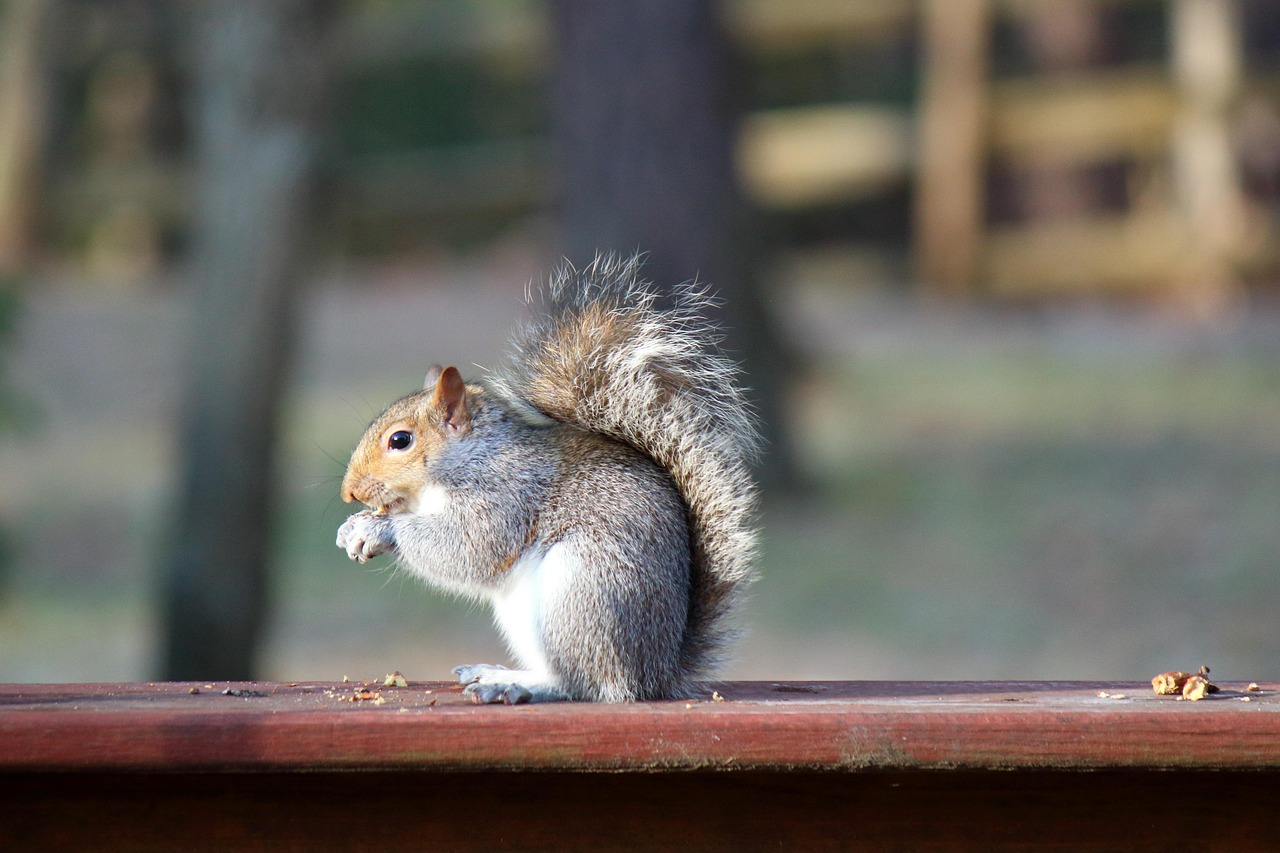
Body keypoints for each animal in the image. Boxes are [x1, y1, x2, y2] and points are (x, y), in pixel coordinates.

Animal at [336, 254, 761, 703]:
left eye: (400, 440)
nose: (349, 493)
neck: (470, 458)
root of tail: (657, 673)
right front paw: (352, 527)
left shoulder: (506, 494)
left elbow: (469, 548)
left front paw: (379, 530)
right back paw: (500, 673)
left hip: (583, 593)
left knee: (587, 683)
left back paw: (519, 685)